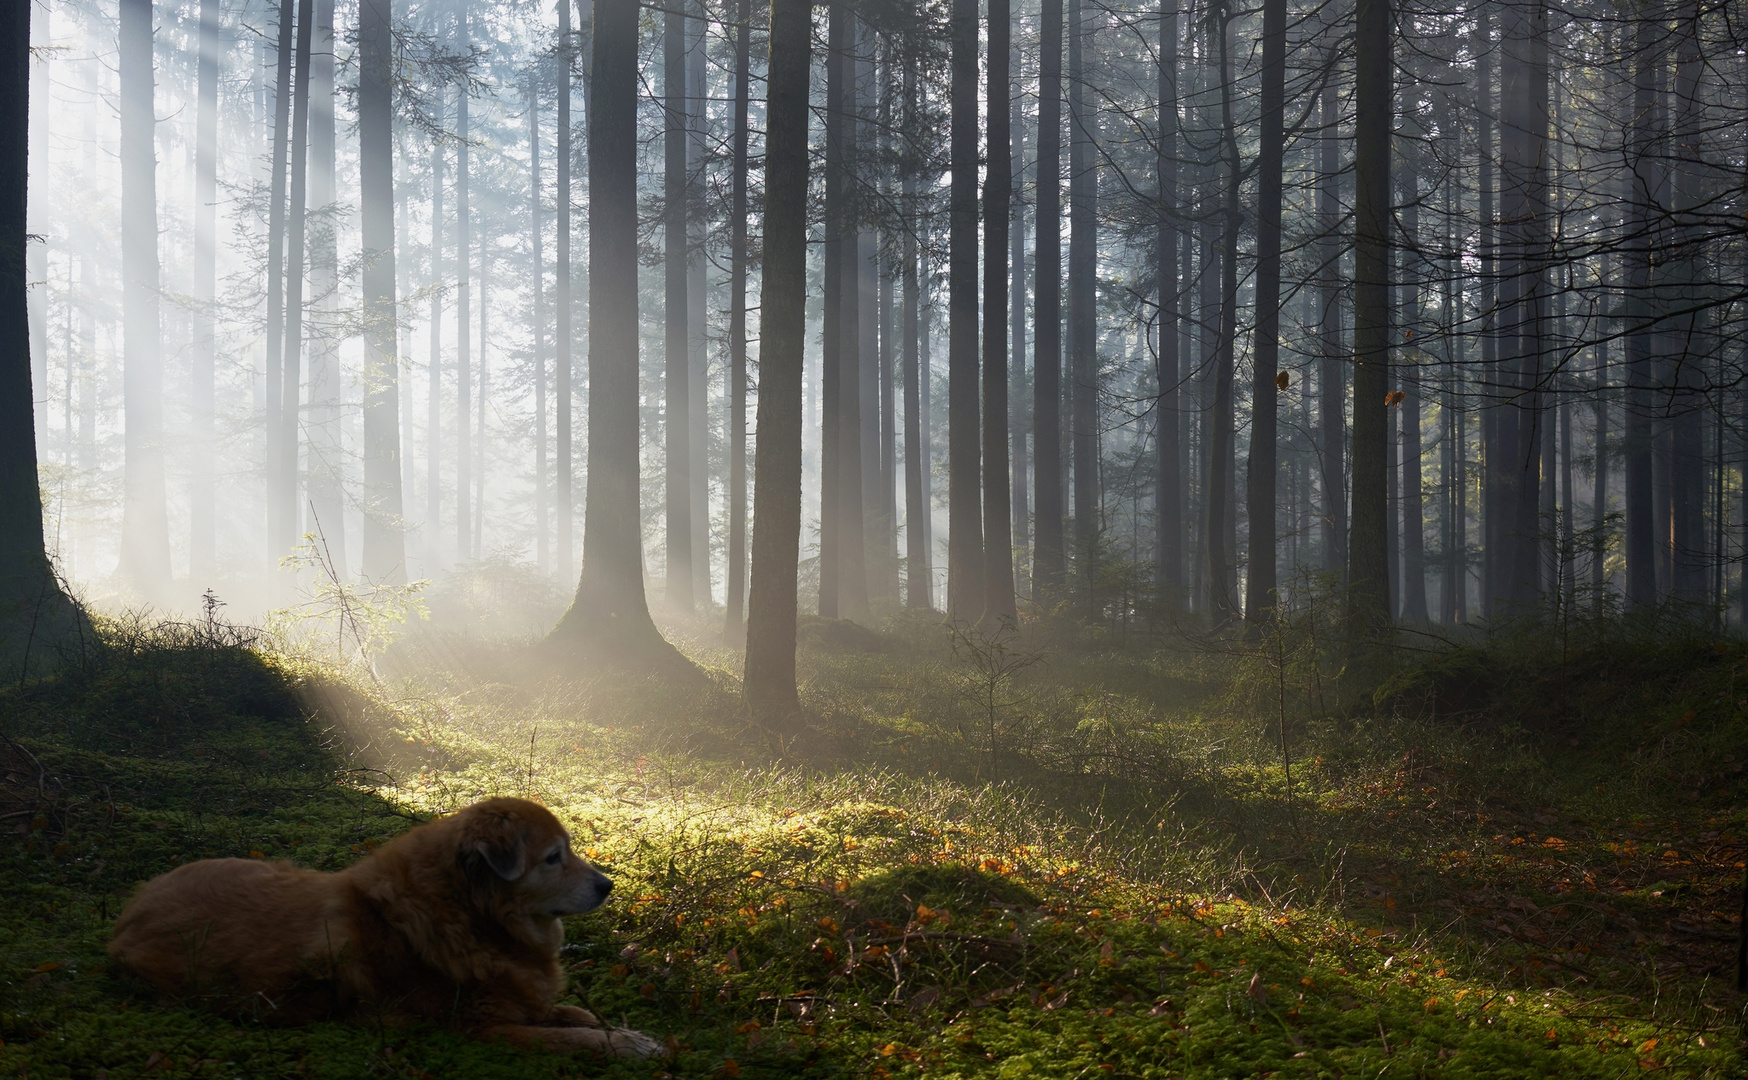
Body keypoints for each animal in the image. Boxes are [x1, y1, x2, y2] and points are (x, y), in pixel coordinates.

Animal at [107, 789, 660, 1048]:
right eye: (553, 857)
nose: (609, 886)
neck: (470, 914)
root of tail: (129, 914)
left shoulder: (523, 998)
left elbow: (575, 1015)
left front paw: (630, 1032)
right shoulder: (478, 1028)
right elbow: (573, 1037)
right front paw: (627, 1046)